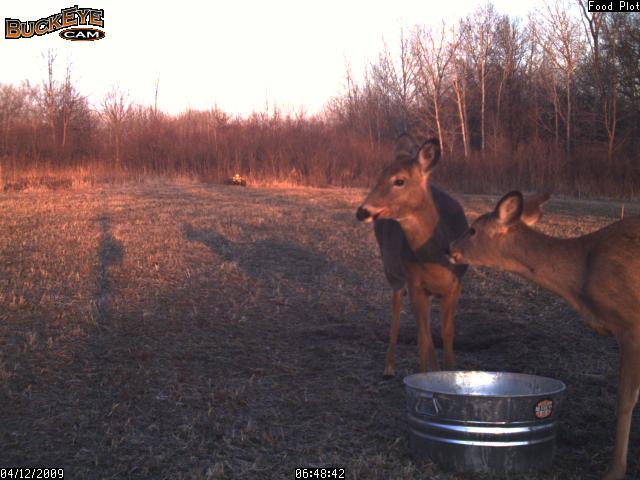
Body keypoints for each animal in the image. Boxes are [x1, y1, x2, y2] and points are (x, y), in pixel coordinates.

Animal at [352, 134, 468, 376]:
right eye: (379, 176)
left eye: (399, 181)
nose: (362, 211)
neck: (435, 258)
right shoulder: (414, 281)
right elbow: (423, 338)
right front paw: (427, 375)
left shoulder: (454, 285)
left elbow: (447, 335)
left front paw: (447, 373)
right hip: (393, 272)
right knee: (397, 307)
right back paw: (389, 366)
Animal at [448, 191, 640, 480]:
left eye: (472, 230)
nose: (449, 249)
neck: (582, 272)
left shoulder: (631, 324)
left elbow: (626, 399)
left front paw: (614, 470)